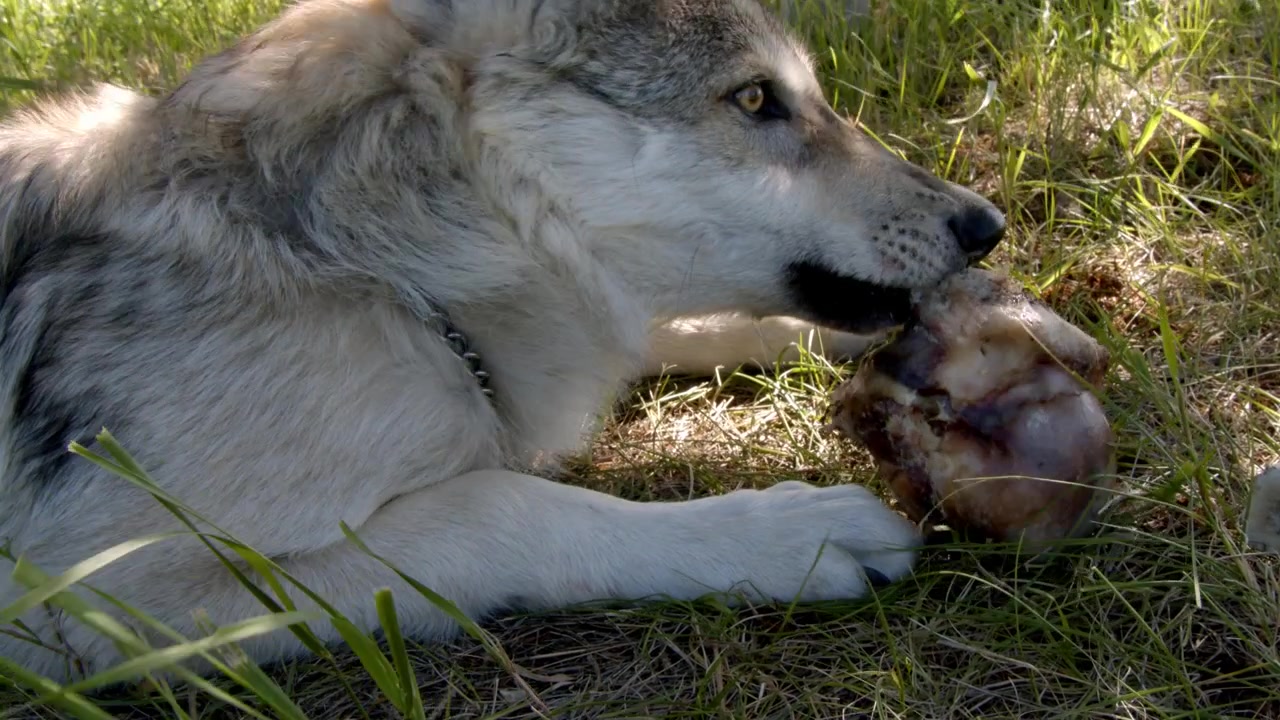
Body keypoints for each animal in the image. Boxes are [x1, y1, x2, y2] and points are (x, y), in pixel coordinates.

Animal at [0, 0, 1005, 681]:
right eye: (756, 98)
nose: (986, 227)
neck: (364, 268)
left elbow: (675, 328)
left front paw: (822, 338)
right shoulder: (91, 595)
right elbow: (507, 506)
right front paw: (790, 530)